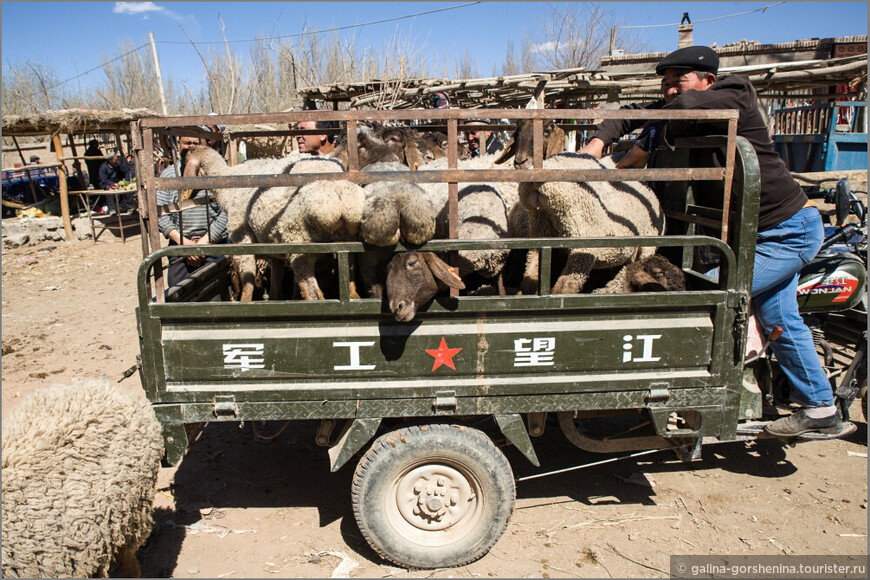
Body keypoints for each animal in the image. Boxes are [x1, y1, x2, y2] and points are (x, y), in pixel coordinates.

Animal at [182, 145, 366, 302]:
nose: (185, 196)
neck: (225, 187)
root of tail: (339, 196)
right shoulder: (274, 249)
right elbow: (276, 283)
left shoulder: (242, 239)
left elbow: (248, 279)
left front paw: (245, 304)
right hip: (347, 243)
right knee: (349, 278)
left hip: (300, 247)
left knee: (313, 294)